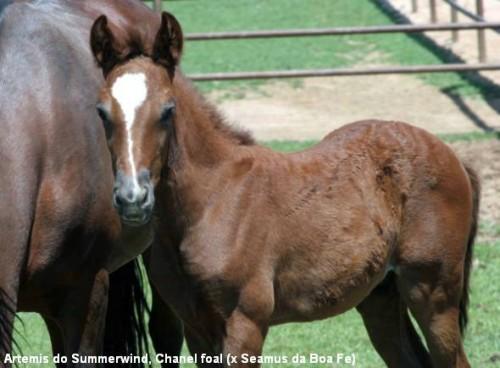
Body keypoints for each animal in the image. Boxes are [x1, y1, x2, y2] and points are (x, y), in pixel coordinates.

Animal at [91, 11, 480, 368]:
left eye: (168, 110)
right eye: (102, 113)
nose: (132, 199)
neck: (212, 201)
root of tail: (453, 154)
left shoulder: (246, 324)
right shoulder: (196, 328)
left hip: (434, 292)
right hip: (381, 296)